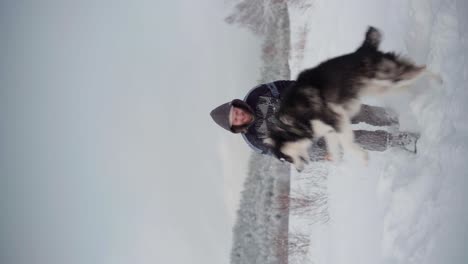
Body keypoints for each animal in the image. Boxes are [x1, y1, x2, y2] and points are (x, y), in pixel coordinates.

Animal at [264, 26, 436, 171]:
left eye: (286, 159)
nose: (299, 171)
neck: (297, 121)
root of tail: (363, 49)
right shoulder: (330, 131)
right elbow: (335, 150)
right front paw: (339, 163)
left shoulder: (337, 120)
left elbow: (347, 145)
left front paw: (363, 158)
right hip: (382, 87)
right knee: (409, 84)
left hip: (389, 78)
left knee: (423, 69)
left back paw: (438, 81)